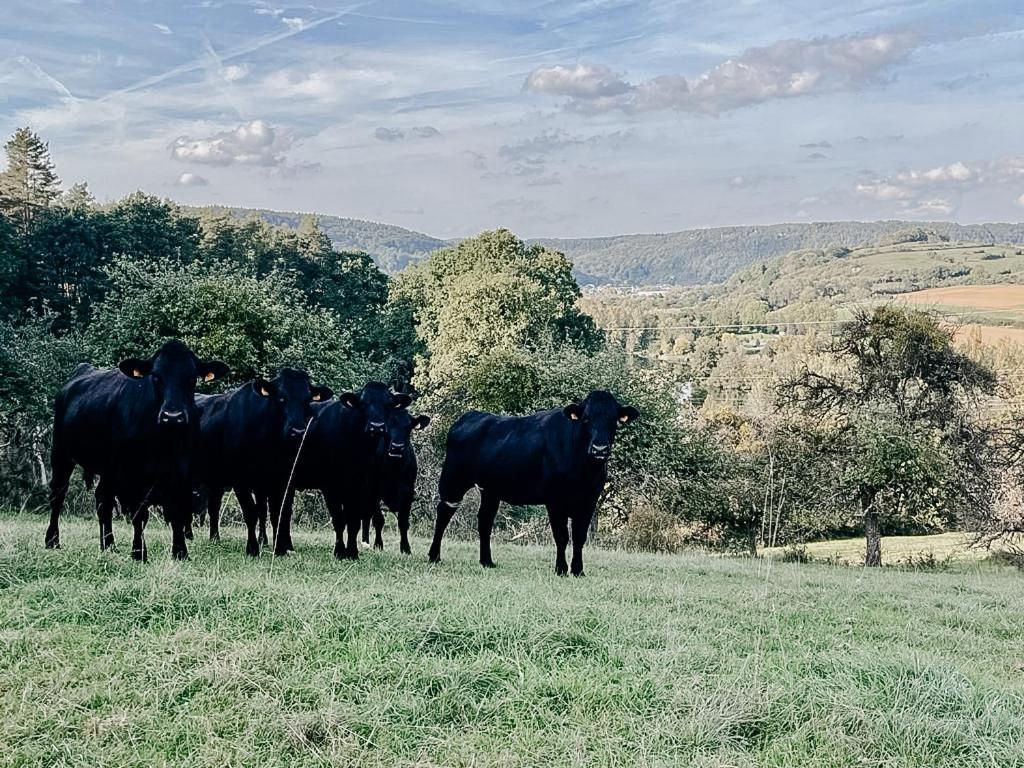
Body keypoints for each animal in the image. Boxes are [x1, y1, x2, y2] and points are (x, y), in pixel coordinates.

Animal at [45, 339, 228, 561]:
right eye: (156, 377)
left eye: (192, 379)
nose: (172, 416)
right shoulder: (133, 473)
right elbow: (140, 513)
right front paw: (139, 552)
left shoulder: (182, 470)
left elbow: (177, 510)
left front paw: (180, 552)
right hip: (61, 454)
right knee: (58, 495)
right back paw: (52, 540)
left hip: (108, 469)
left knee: (103, 500)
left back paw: (108, 545)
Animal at [192, 370, 331, 557]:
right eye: (281, 398)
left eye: (307, 400)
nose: (297, 431)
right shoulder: (241, 481)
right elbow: (252, 513)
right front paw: (252, 548)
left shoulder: (282, 480)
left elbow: (279, 514)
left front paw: (281, 548)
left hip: (217, 480)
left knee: (214, 506)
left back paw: (215, 538)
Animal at [288, 382, 407, 561]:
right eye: (364, 403)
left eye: (388, 404)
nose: (377, 427)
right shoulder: (330, 487)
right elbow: (339, 519)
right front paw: (339, 551)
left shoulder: (360, 486)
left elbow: (354, 520)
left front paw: (352, 551)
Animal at [362, 409, 430, 552]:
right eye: (386, 427)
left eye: (409, 427)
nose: (397, 447)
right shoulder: (374, 489)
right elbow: (378, 519)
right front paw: (378, 544)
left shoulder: (408, 491)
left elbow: (403, 521)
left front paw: (405, 548)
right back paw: (365, 542)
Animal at [425, 391, 634, 577]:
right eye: (586, 419)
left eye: (613, 420)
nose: (600, 449)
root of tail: (470, 415)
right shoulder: (555, 500)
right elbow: (561, 535)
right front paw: (561, 569)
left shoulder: (589, 500)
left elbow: (579, 536)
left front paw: (578, 570)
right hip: (453, 480)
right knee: (444, 513)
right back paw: (434, 556)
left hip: (490, 491)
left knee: (485, 520)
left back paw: (487, 561)